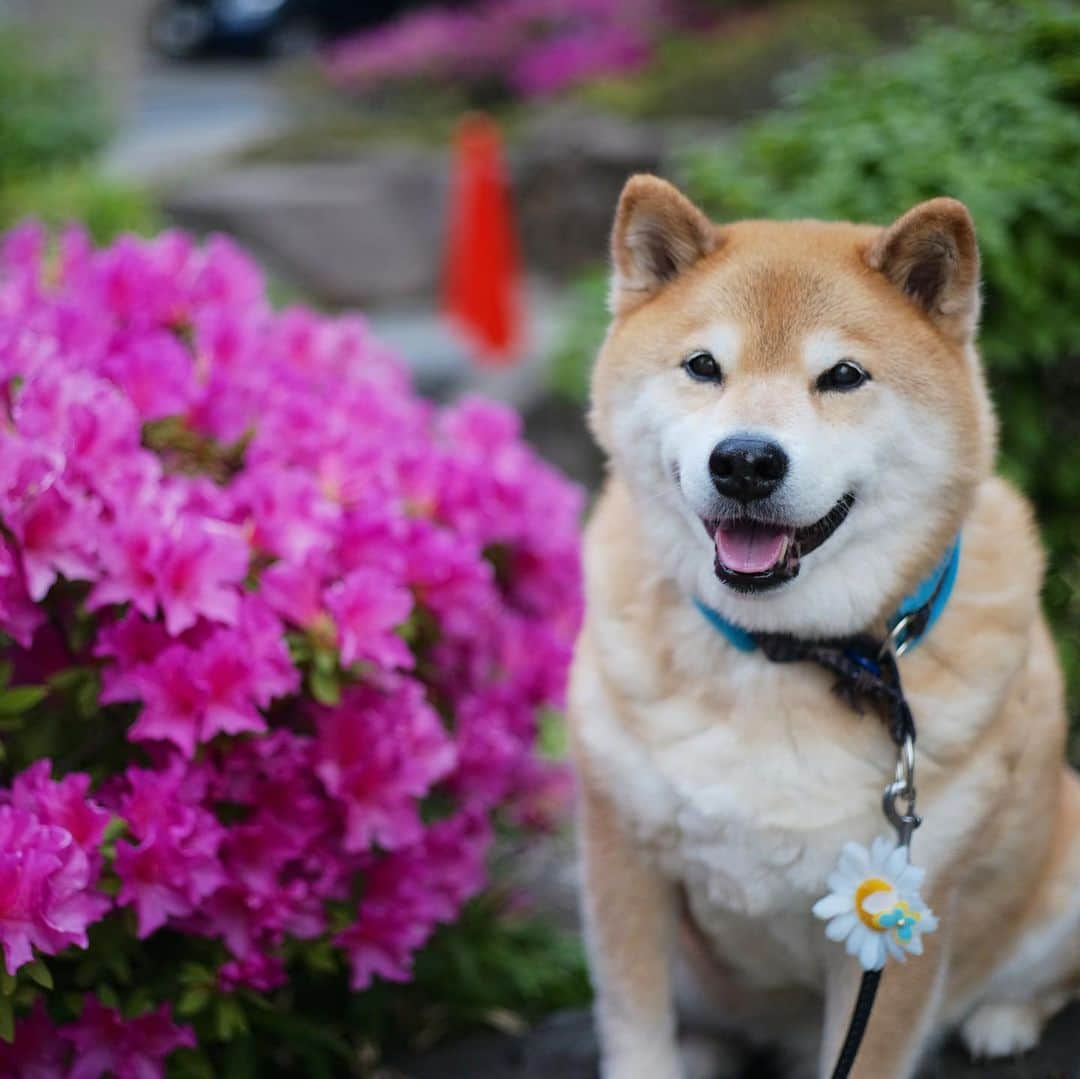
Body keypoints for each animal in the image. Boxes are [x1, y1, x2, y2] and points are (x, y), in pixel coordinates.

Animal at [570, 172, 1075, 1075]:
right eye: (704, 366)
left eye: (843, 375)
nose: (744, 460)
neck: (783, 654)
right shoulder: (622, 855)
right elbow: (634, 1026)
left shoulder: (900, 910)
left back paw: (1004, 1019)